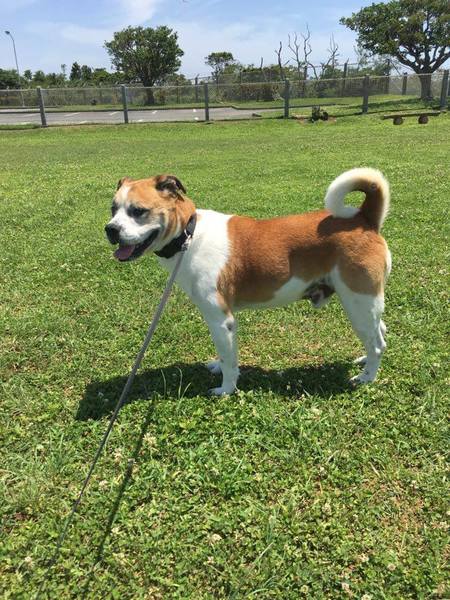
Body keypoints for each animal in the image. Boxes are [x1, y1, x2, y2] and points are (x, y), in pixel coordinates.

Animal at [105, 169, 391, 395]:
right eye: (113, 209)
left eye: (138, 211)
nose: (110, 229)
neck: (189, 234)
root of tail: (364, 219)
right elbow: (225, 354)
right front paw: (218, 366)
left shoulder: (221, 319)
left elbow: (230, 362)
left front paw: (226, 389)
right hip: (365, 303)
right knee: (380, 332)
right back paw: (364, 361)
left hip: (358, 301)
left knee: (377, 344)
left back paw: (366, 377)